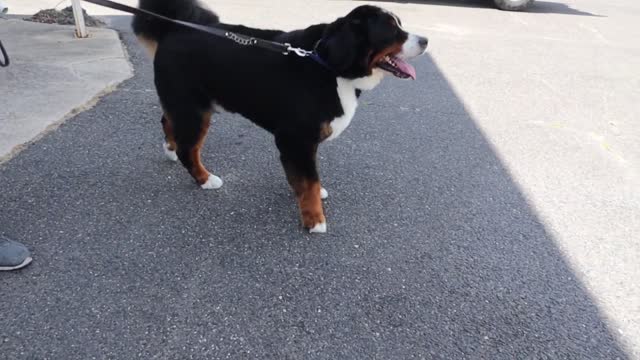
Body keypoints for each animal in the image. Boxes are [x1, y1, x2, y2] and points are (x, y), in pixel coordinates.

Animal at [132, 0, 428, 233]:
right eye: (390, 29)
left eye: (400, 24)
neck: (326, 63)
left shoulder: (300, 142)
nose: (425, 41)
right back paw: (205, 179)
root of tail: (175, 27)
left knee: (168, 122)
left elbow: (304, 178)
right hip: (194, 110)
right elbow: (309, 180)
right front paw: (314, 220)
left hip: (183, 104)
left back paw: (170, 149)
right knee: (189, 149)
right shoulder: (296, 138)